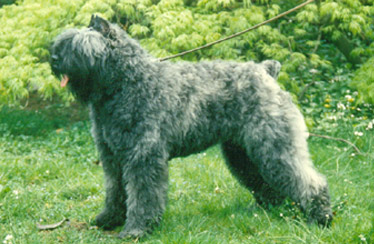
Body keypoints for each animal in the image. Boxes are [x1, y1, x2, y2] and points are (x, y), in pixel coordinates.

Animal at [50, 15, 334, 238]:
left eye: (78, 46)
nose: (53, 57)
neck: (127, 81)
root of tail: (265, 71)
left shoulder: (142, 156)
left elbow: (142, 194)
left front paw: (137, 229)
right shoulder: (112, 157)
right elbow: (115, 189)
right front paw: (109, 219)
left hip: (274, 145)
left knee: (308, 180)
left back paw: (320, 218)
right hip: (242, 152)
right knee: (263, 180)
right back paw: (269, 209)